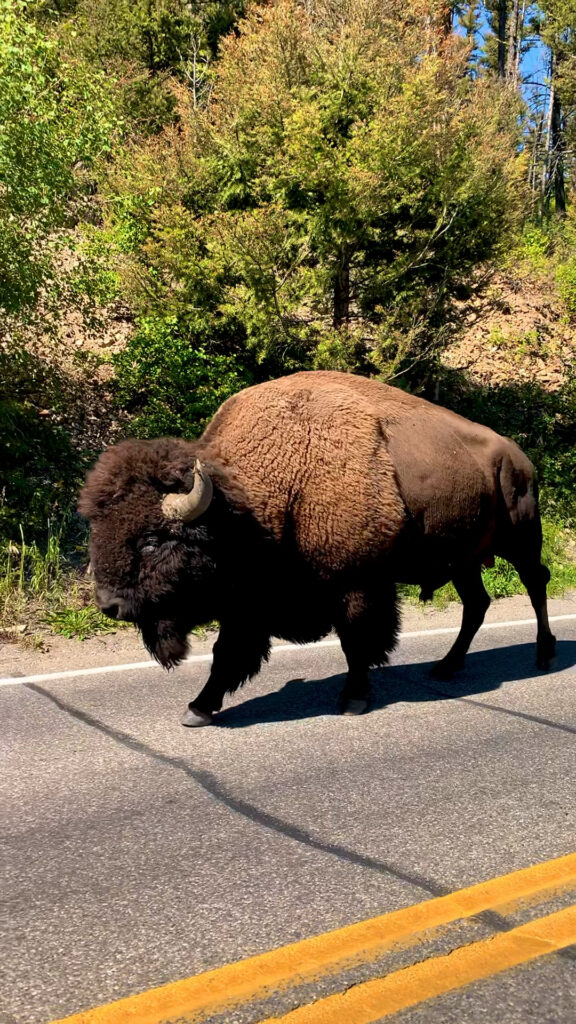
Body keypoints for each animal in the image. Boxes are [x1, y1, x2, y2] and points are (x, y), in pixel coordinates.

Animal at [80, 371, 556, 726]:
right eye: (98, 528)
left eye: (153, 539)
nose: (109, 605)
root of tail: (519, 457)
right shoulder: (249, 601)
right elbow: (227, 653)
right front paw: (199, 708)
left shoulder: (355, 584)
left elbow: (355, 641)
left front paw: (354, 699)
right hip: (464, 559)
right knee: (477, 603)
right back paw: (446, 666)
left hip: (520, 540)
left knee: (536, 583)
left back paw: (544, 655)